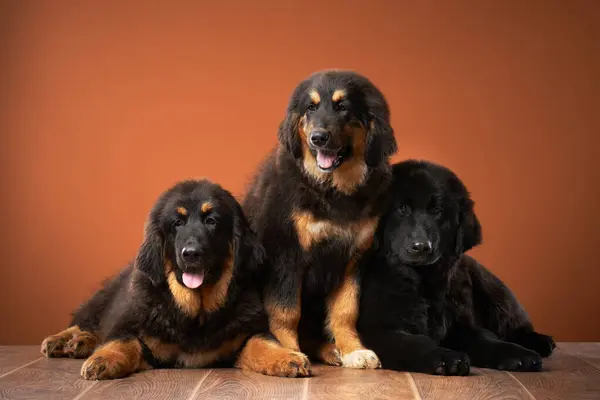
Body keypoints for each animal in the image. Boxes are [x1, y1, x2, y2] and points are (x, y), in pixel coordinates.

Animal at [42, 180, 312, 380]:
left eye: (211, 221)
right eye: (177, 223)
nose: (191, 253)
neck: (197, 312)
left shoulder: (244, 336)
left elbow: (264, 343)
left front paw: (287, 357)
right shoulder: (132, 325)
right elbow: (121, 340)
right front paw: (102, 359)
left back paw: (78, 344)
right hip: (101, 300)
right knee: (86, 322)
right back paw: (64, 340)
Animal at [244, 69, 398, 368]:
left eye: (342, 107)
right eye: (311, 108)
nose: (318, 138)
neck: (333, 188)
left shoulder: (356, 257)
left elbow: (346, 310)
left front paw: (353, 350)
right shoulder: (287, 253)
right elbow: (286, 311)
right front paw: (286, 351)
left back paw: (331, 350)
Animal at [356, 160, 556, 376]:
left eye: (437, 211)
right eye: (402, 209)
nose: (421, 246)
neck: (424, 282)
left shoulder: (460, 324)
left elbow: (486, 338)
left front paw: (518, 354)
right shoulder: (378, 330)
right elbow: (415, 343)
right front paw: (447, 357)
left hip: (494, 290)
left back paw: (540, 341)